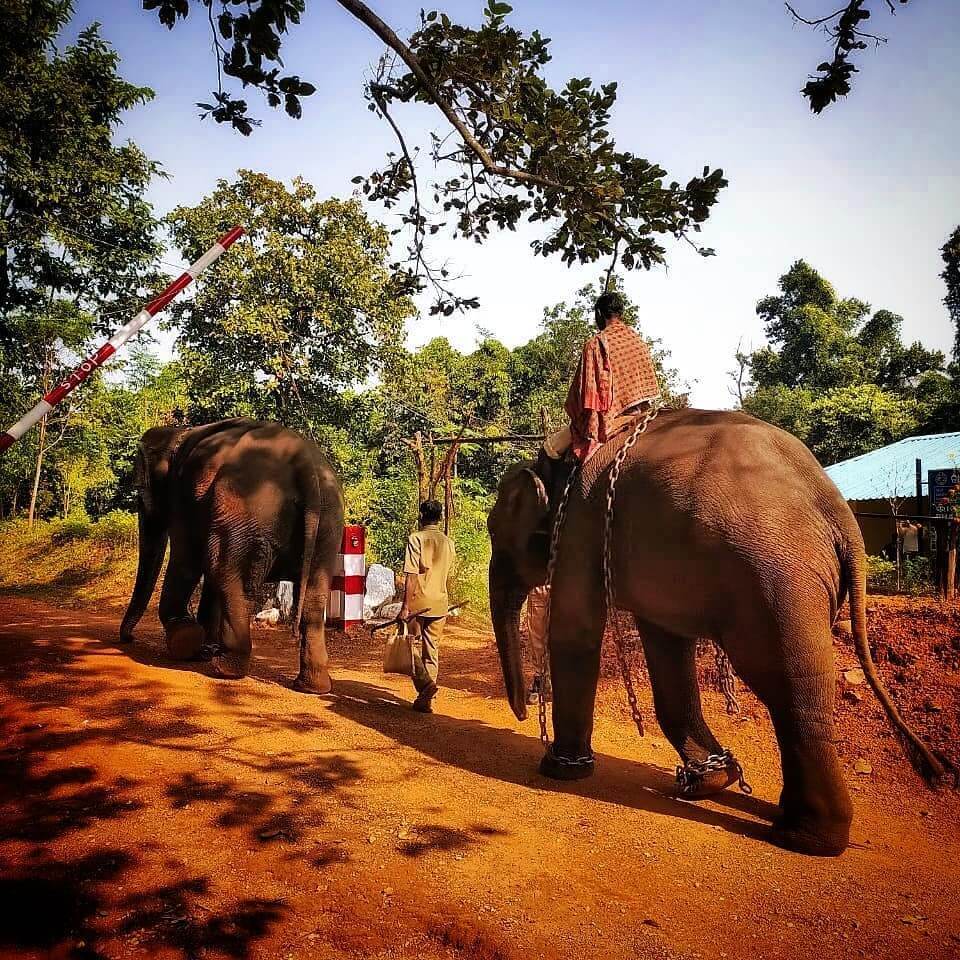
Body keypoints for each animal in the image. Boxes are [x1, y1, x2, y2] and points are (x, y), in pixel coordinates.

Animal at [119, 418, 344, 693]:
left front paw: (186, 640)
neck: (177, 433)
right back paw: (312, 686)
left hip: (244, 514)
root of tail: (305, 464)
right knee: (314, 594)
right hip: (328, 522)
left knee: (231, 577)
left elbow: (186, 558)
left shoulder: (180, 496)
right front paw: (203, 648)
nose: (129, 638)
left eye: (140, 491)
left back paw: (225, 668)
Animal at [487, 408, 948, 856]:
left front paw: (558, 770)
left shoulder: (579, 524)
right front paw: (709, 783)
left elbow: (576, 630)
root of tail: (839, 510)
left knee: (788, 682)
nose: (525, 714)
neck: (557, 460)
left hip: (775, 583)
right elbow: (667, 643)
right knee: (806, 683)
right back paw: (796, 825)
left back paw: (803, 838)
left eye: (493, 531)